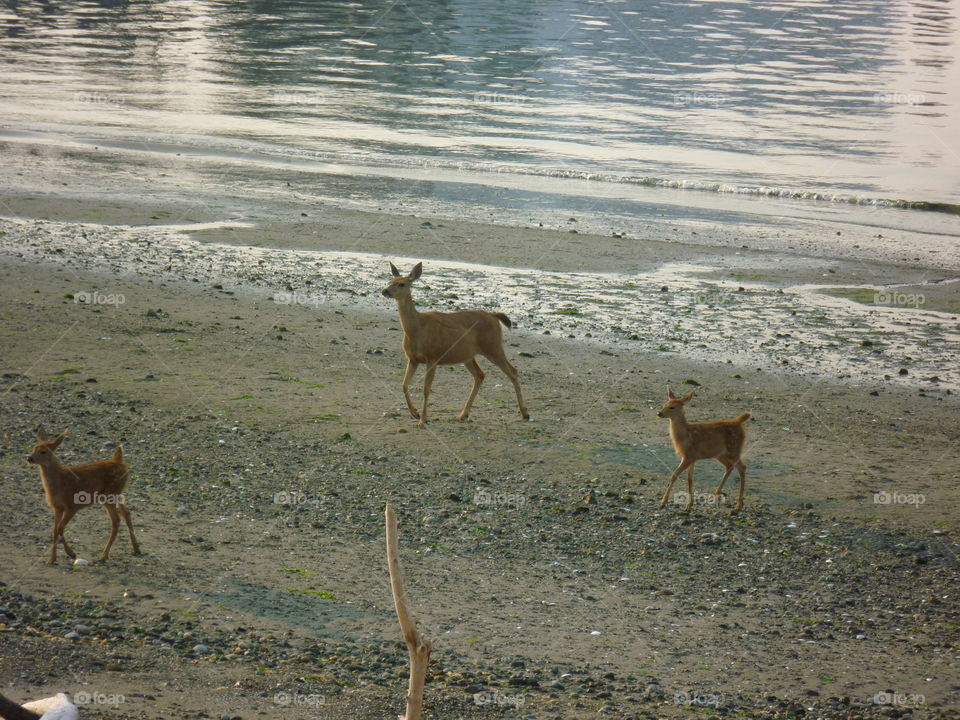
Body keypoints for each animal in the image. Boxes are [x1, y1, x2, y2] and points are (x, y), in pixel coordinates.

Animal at [26, 424, 141, 564]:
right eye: (33, 448)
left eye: (43, 451)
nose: (29, 458)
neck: (59, 481)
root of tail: (118, 461)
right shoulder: (57, 507)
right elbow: (54, 530)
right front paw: (52, 559)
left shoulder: (72, 506)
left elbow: (60, 528)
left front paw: (71, 554)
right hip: (115, 494)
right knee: (126, 512)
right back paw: (136, 549)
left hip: (109, 495)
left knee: (116, 520)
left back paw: (104, 555)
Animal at [382, 262, 532, 424]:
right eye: (389, 281)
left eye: (401, 284)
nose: (384, 291)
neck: (417, 329)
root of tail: (494, 316)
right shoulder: (413, 359)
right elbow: (404, 384)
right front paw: (415, 413)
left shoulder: (433, 357)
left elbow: (426, 390)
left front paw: (423, 420)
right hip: (468, 356)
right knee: (480, 375)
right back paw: (462, 414)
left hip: (493, 347)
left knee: (512, 371)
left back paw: (525, 413)